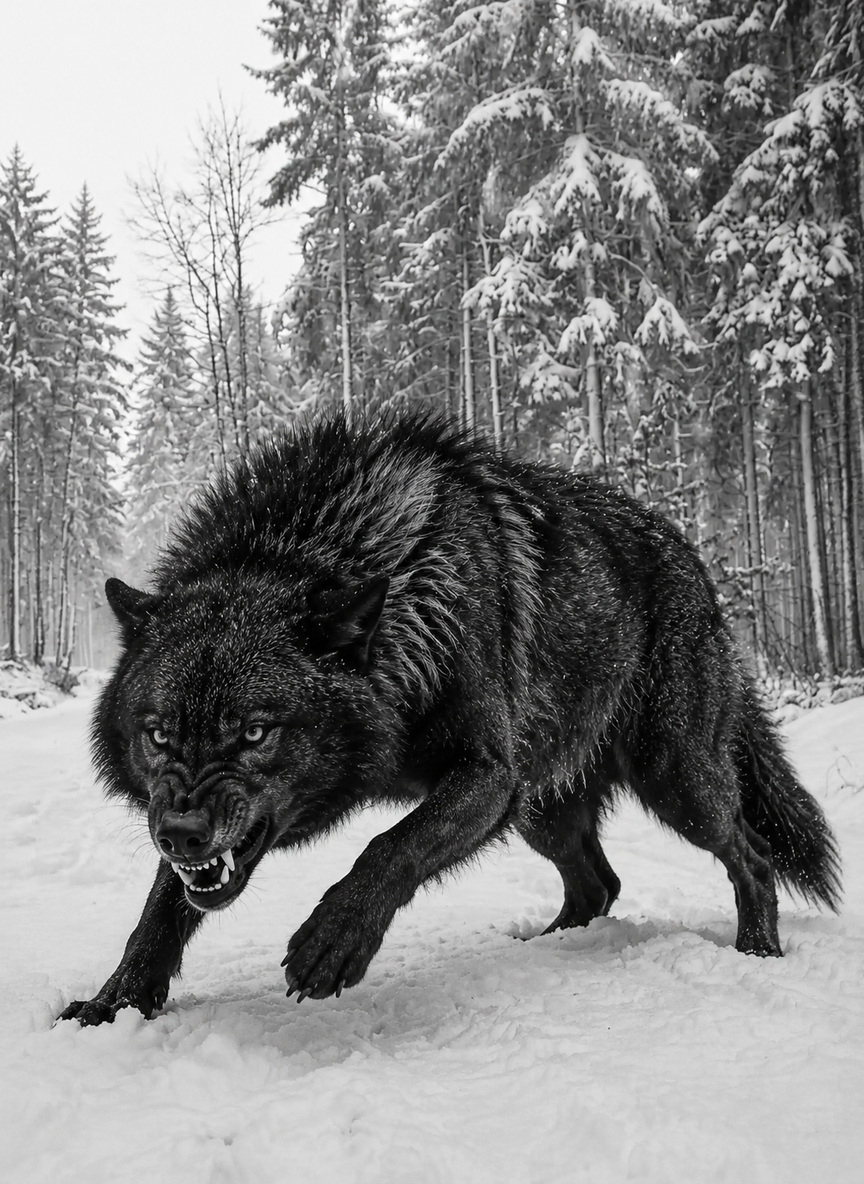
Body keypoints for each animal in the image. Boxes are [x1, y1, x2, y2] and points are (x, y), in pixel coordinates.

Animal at [59, 412, 840, 1025]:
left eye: (254, 733)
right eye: (159, 734)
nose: (182, 833)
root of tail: (699, 566)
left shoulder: (487, 775)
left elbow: (391, 846)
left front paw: (331, 942)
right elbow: (160, 908)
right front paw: (112, 1004)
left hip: (673, 781)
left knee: (749, 854)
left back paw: (757, 949)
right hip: (541, 810)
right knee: (599, 884)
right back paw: (550, 944)